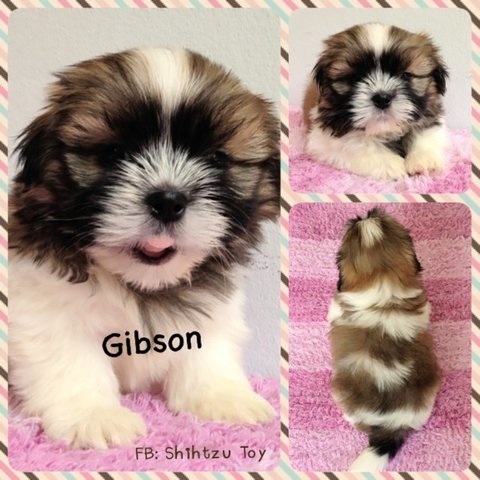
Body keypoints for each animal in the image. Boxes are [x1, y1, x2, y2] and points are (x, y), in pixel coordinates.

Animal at [9, 48, 279, 449]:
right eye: (113, 152)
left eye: (216, 158)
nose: (168, 201)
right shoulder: (42, 305)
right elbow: (70, 360)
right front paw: (93, 415)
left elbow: (207, 347)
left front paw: (220, 396)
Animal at [303, 23, 448, 180]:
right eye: (355, 78)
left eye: (405, 75)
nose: (382, 99)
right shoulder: (323, 139)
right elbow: (356, 142)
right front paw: (389, 163)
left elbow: (425, 132)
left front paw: (423, 159)